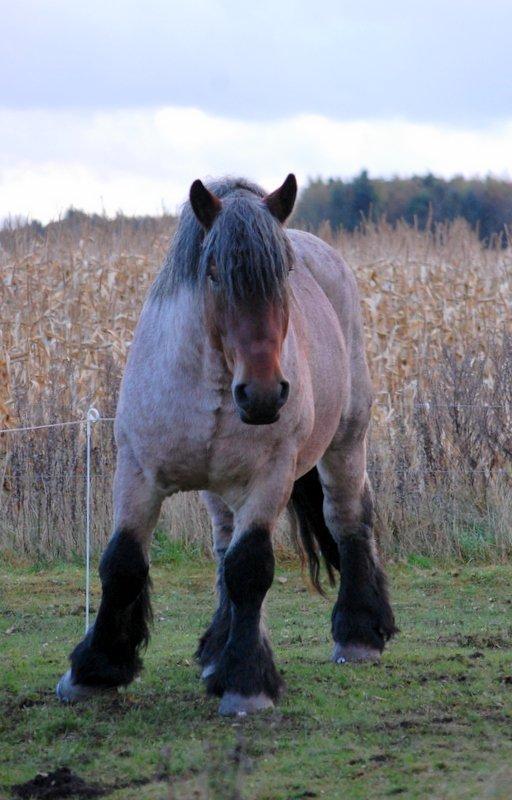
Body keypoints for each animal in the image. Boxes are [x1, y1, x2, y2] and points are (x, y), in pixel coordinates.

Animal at [56, 173, 396, 712]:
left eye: (284, 272)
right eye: (214, 272)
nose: (262, 393)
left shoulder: (269, 479)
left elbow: (250, 568)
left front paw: (246, 682)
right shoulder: (137, 473)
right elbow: (123, 563)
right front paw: (94, 669)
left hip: (346, 442)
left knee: (347, 520)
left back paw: (357, 635)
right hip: (220, 489)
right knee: (222, 546)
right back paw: (216, 650)